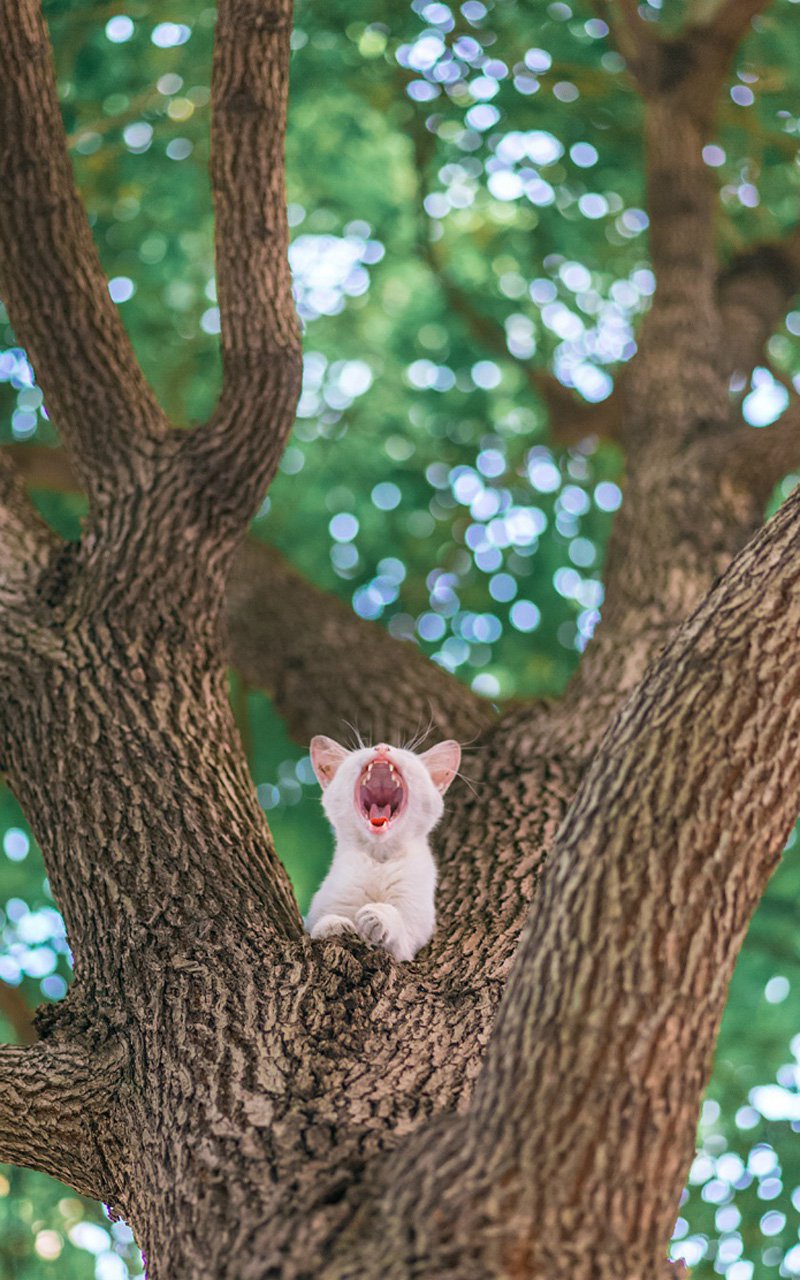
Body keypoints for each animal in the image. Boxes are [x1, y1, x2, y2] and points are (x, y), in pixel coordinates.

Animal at [302, 742, 458, 962]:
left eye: (406, 755)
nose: (382, 746)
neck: (379, 859)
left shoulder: (409, 941)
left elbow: (395, 923)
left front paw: (376, 916)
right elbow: (320, 925)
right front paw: (333, 925)